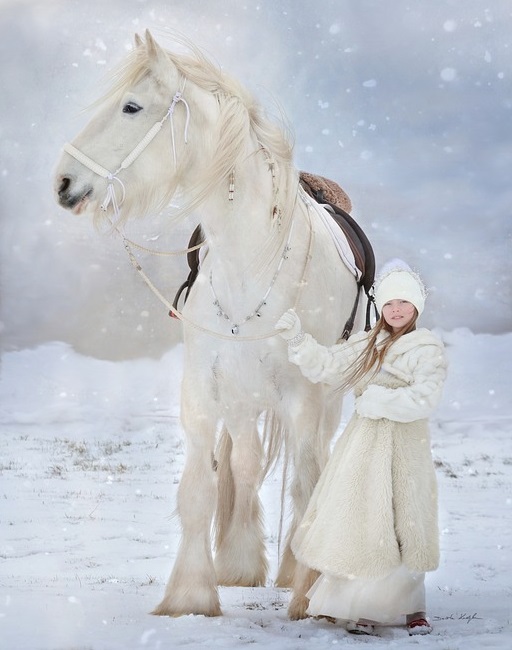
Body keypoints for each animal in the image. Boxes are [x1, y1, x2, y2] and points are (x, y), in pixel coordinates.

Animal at [54, 30, 368, 616]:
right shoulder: (201, 391)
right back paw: (241, 565)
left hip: (325, 401)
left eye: (131, 107)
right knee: (244, 465)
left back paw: (289, 570)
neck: (252, 263)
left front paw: (306, 593)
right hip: (241, 401)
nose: (64, 181)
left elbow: (308, 484)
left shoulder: (303, 398)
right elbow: (199, 489)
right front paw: (191, 594)